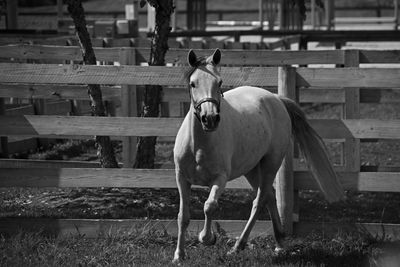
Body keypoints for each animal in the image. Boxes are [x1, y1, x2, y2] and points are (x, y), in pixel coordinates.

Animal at [172, 48, 344, 264]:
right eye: (193, 83)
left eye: (219, 82)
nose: (210, 118)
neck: (199, 146)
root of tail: (276, 98)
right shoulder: (182, 179)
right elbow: (183, 216)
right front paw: (179, 256)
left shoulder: (220, 179)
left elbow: (209, 206)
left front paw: (207, 238)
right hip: (252, 169)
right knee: (269, 196)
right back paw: (279, 243)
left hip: (271, 163)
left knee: (260, 200)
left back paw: (238, 247)